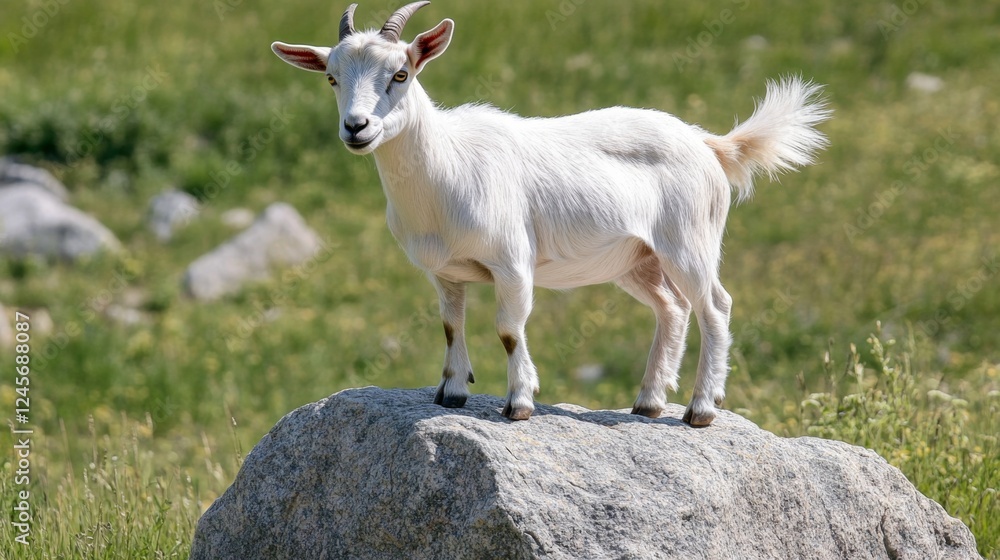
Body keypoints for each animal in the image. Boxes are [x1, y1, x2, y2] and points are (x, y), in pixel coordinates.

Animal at [271, 2, 831, 424]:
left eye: (402, 74)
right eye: (331, 78)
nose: (356, 127)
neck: (445, 168)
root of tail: (708, 143)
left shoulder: (512, 261)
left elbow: (508, 329)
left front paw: (519, 403)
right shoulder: (444, 272)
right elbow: (451, 325)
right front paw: (450, 392)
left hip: (690, 239)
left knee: (716, 305)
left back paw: (700, 410)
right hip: (638, 258)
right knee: (672, 308)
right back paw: (649, 402)